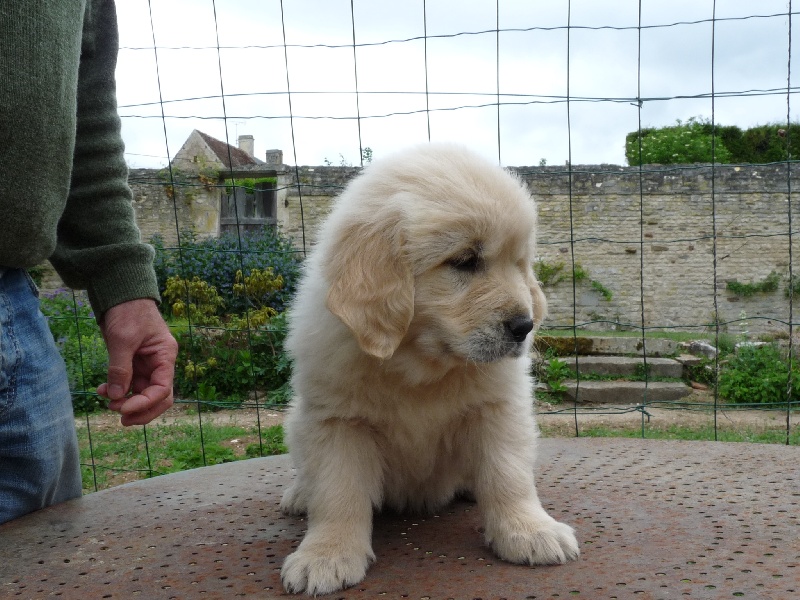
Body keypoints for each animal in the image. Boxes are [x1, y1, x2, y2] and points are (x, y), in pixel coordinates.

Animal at [280, 143, 579, 595]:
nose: (525, 326)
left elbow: (508, 475)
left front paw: (529, 531)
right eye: (465, 261)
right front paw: (326, 554)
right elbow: (337, 492)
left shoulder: (499, 410)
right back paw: (300, 494)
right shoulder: (336, 423)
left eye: (520, 263)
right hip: (297, 422)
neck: (421, 363)